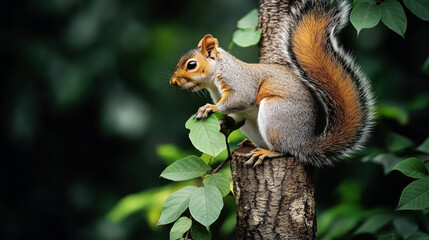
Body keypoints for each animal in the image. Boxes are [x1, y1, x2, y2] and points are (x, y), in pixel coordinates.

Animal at [169, 0, 372, 166]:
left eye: (191, 65)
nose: (173, 82)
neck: (215, 78)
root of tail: (304, 143)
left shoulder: (239, 81)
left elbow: (240, 98)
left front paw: (211, 108)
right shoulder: (234, 107)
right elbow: (235, 117)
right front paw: (223, 123)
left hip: (275, 115)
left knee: (285, 150)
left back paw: (267, 152)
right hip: (254, 124)